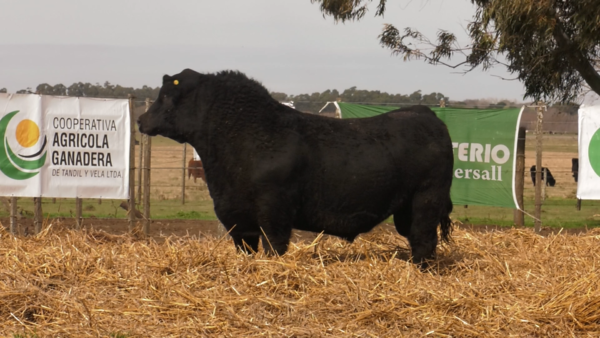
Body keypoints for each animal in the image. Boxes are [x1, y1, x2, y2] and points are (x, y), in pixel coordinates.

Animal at [137, 68, 454, 266]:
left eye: (165, 96)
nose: (141, 120)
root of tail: (426, 115)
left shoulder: (274, 211)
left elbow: (274, 248)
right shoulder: (237, 218)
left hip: (427, 200)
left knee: (425, 241)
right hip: (406, 209)